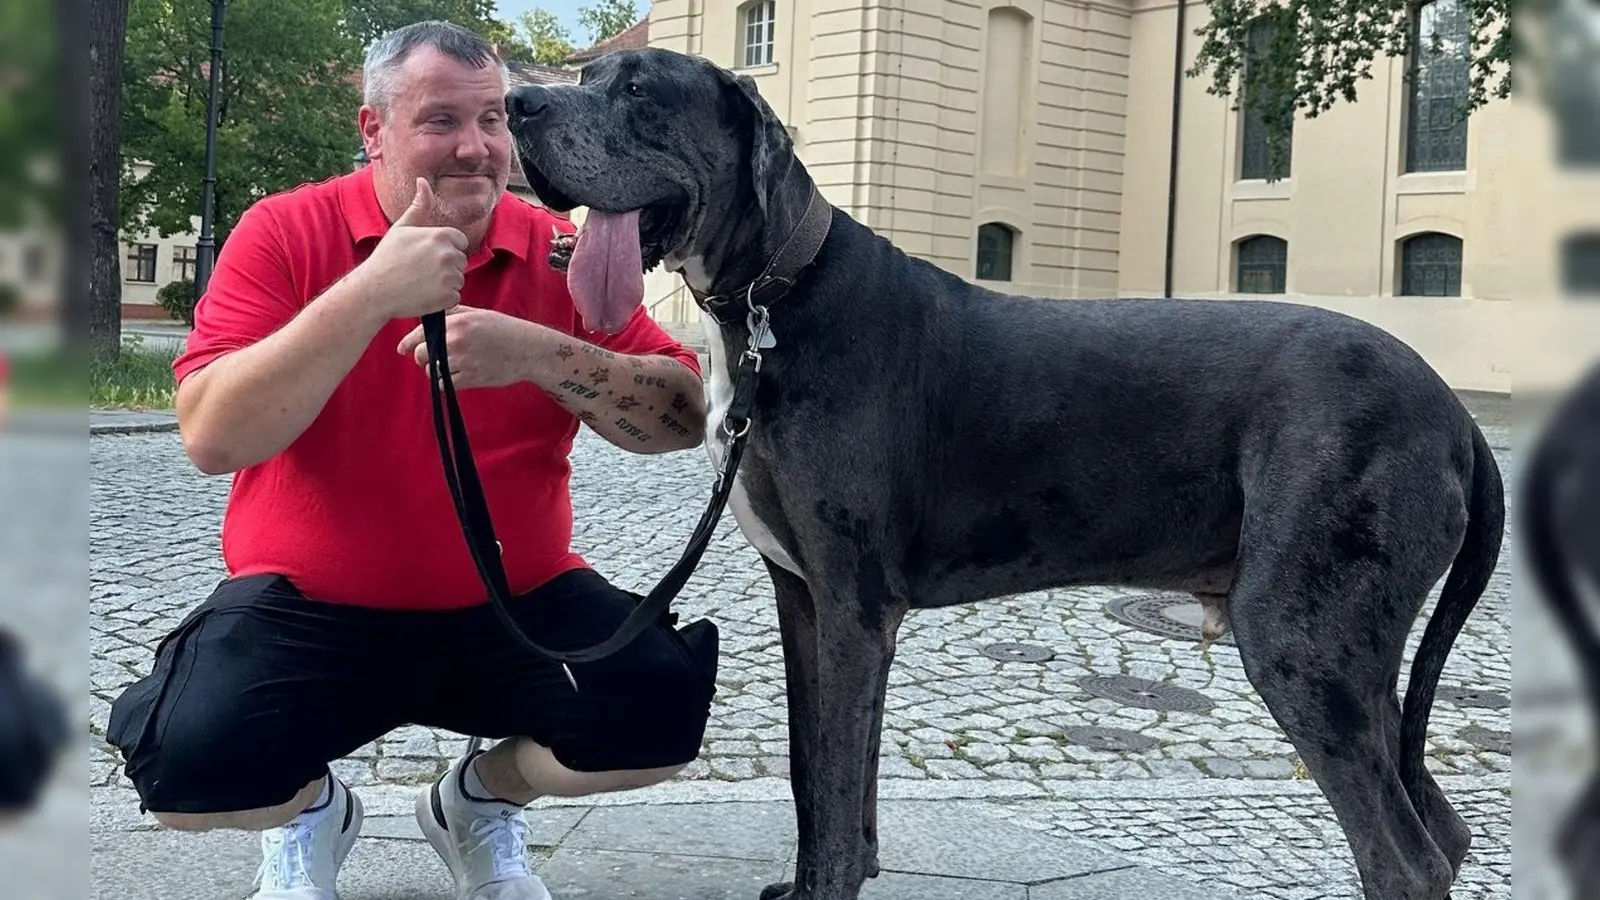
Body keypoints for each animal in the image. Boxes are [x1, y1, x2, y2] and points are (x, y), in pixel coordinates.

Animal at [505, 49, 1504, 896]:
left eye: (640, 90)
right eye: (586, 77)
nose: (520, 105)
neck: (770, 306)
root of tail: (1456, 411)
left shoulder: (854, 603)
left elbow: (833, 776)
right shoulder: (809, 599)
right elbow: (818, 772)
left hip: (1301, 634)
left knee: (1405, 857)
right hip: (1358, 660)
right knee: (1445, 833)